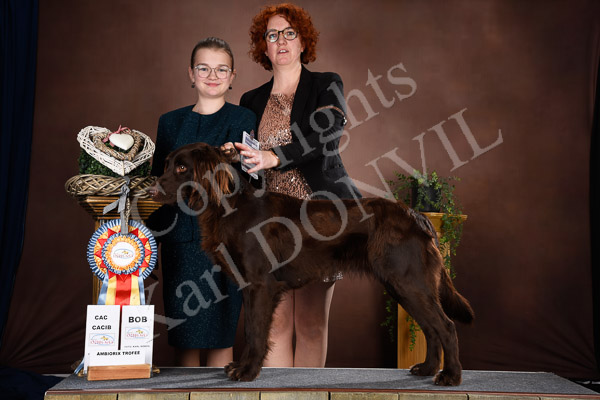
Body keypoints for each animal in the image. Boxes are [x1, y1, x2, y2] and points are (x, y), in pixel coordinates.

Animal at [148, 142, 474, 386]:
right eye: (167, 165)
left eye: (181, 168)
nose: (150, 191)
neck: (229, 206)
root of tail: (415, 215)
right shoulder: (251, 286)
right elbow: (252, 329)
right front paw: (242, 367)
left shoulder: (260, 284)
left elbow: (255, 330)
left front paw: (247, 371)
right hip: (402, 285)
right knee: (430, 328)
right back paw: (427, 369)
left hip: (408, 281)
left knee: (445, 326)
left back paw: (450, 376)